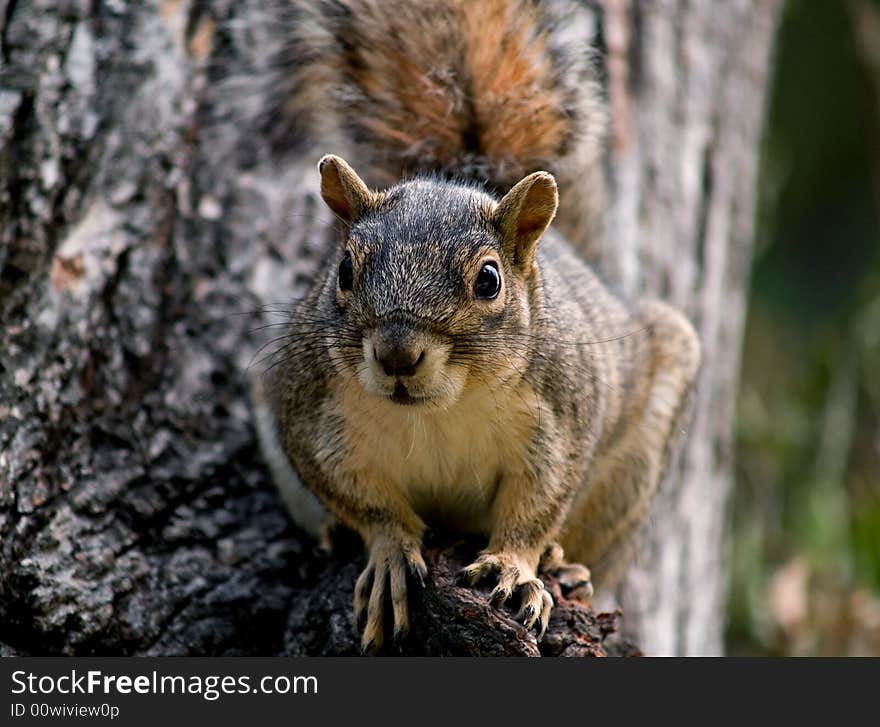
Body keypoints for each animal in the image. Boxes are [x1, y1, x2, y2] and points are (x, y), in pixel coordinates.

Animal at [248, 0, 700, 652]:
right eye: (344, 269)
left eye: (489, 280)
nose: (397, 355)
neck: (441, 409)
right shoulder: (308, 411)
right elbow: (363, 500)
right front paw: (388, 552)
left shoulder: (562, 415)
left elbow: (537, 504)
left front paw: (517, 567)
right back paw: (333, 533)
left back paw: (565, 564)